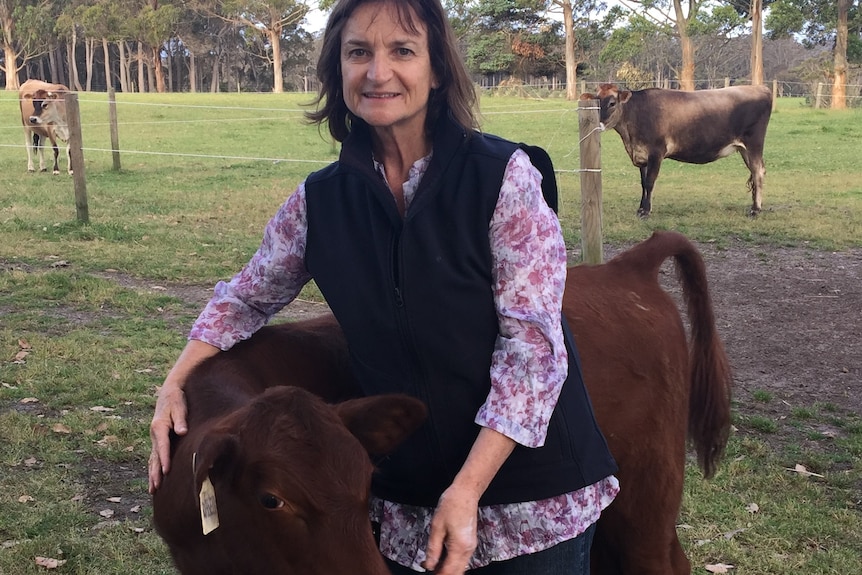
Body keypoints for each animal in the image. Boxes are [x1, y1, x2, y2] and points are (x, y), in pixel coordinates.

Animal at [580, 85, 776, 218]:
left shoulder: (656, 152)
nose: (598, 124)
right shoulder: (642, 156)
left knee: (758, 172)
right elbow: (643, 184)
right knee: (756, 171)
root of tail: (760, 87)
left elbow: (649, 183)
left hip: (754, 143)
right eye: (596, 100)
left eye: (612, 103)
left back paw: (755, 209)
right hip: (744, 149)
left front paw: (646, 211)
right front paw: (641, 208)